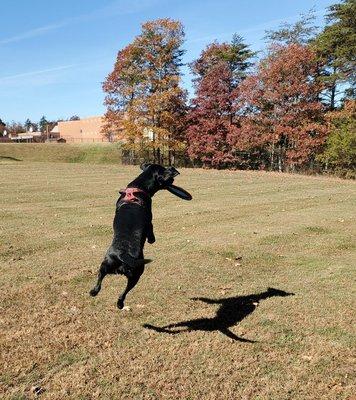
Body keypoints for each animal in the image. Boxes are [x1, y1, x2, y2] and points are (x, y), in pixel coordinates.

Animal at [89, 162, 192, 310]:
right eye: (165, 171)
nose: (172, 169)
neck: (139, 186)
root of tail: (122, 255)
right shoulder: (149, 220)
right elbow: (151, 229)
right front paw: (152, 240)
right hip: (138, 272)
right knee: (124, 293)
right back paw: (120, 304)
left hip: (106, 264)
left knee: (100, 279)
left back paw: (95, 292)